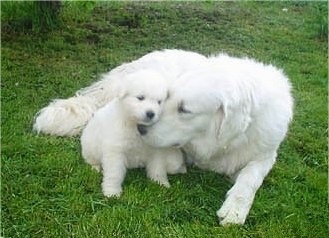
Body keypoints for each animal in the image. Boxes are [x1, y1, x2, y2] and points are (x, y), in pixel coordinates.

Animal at [80, 69, 186, 198]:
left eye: (159, 102)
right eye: (140, 98)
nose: (151, 113)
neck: (135, 126)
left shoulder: (156, 151)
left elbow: (158, 168)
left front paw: (161, 183)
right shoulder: (115, 151)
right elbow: (114, 174)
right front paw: (112, 192)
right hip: (89, 147)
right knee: (91, 159)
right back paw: (95, 168)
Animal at [136, 53, 292, 225]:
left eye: (184, 109)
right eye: (166, 98)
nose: (140, 127)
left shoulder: (267, 155)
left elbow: (250, 177)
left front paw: (235, 208)